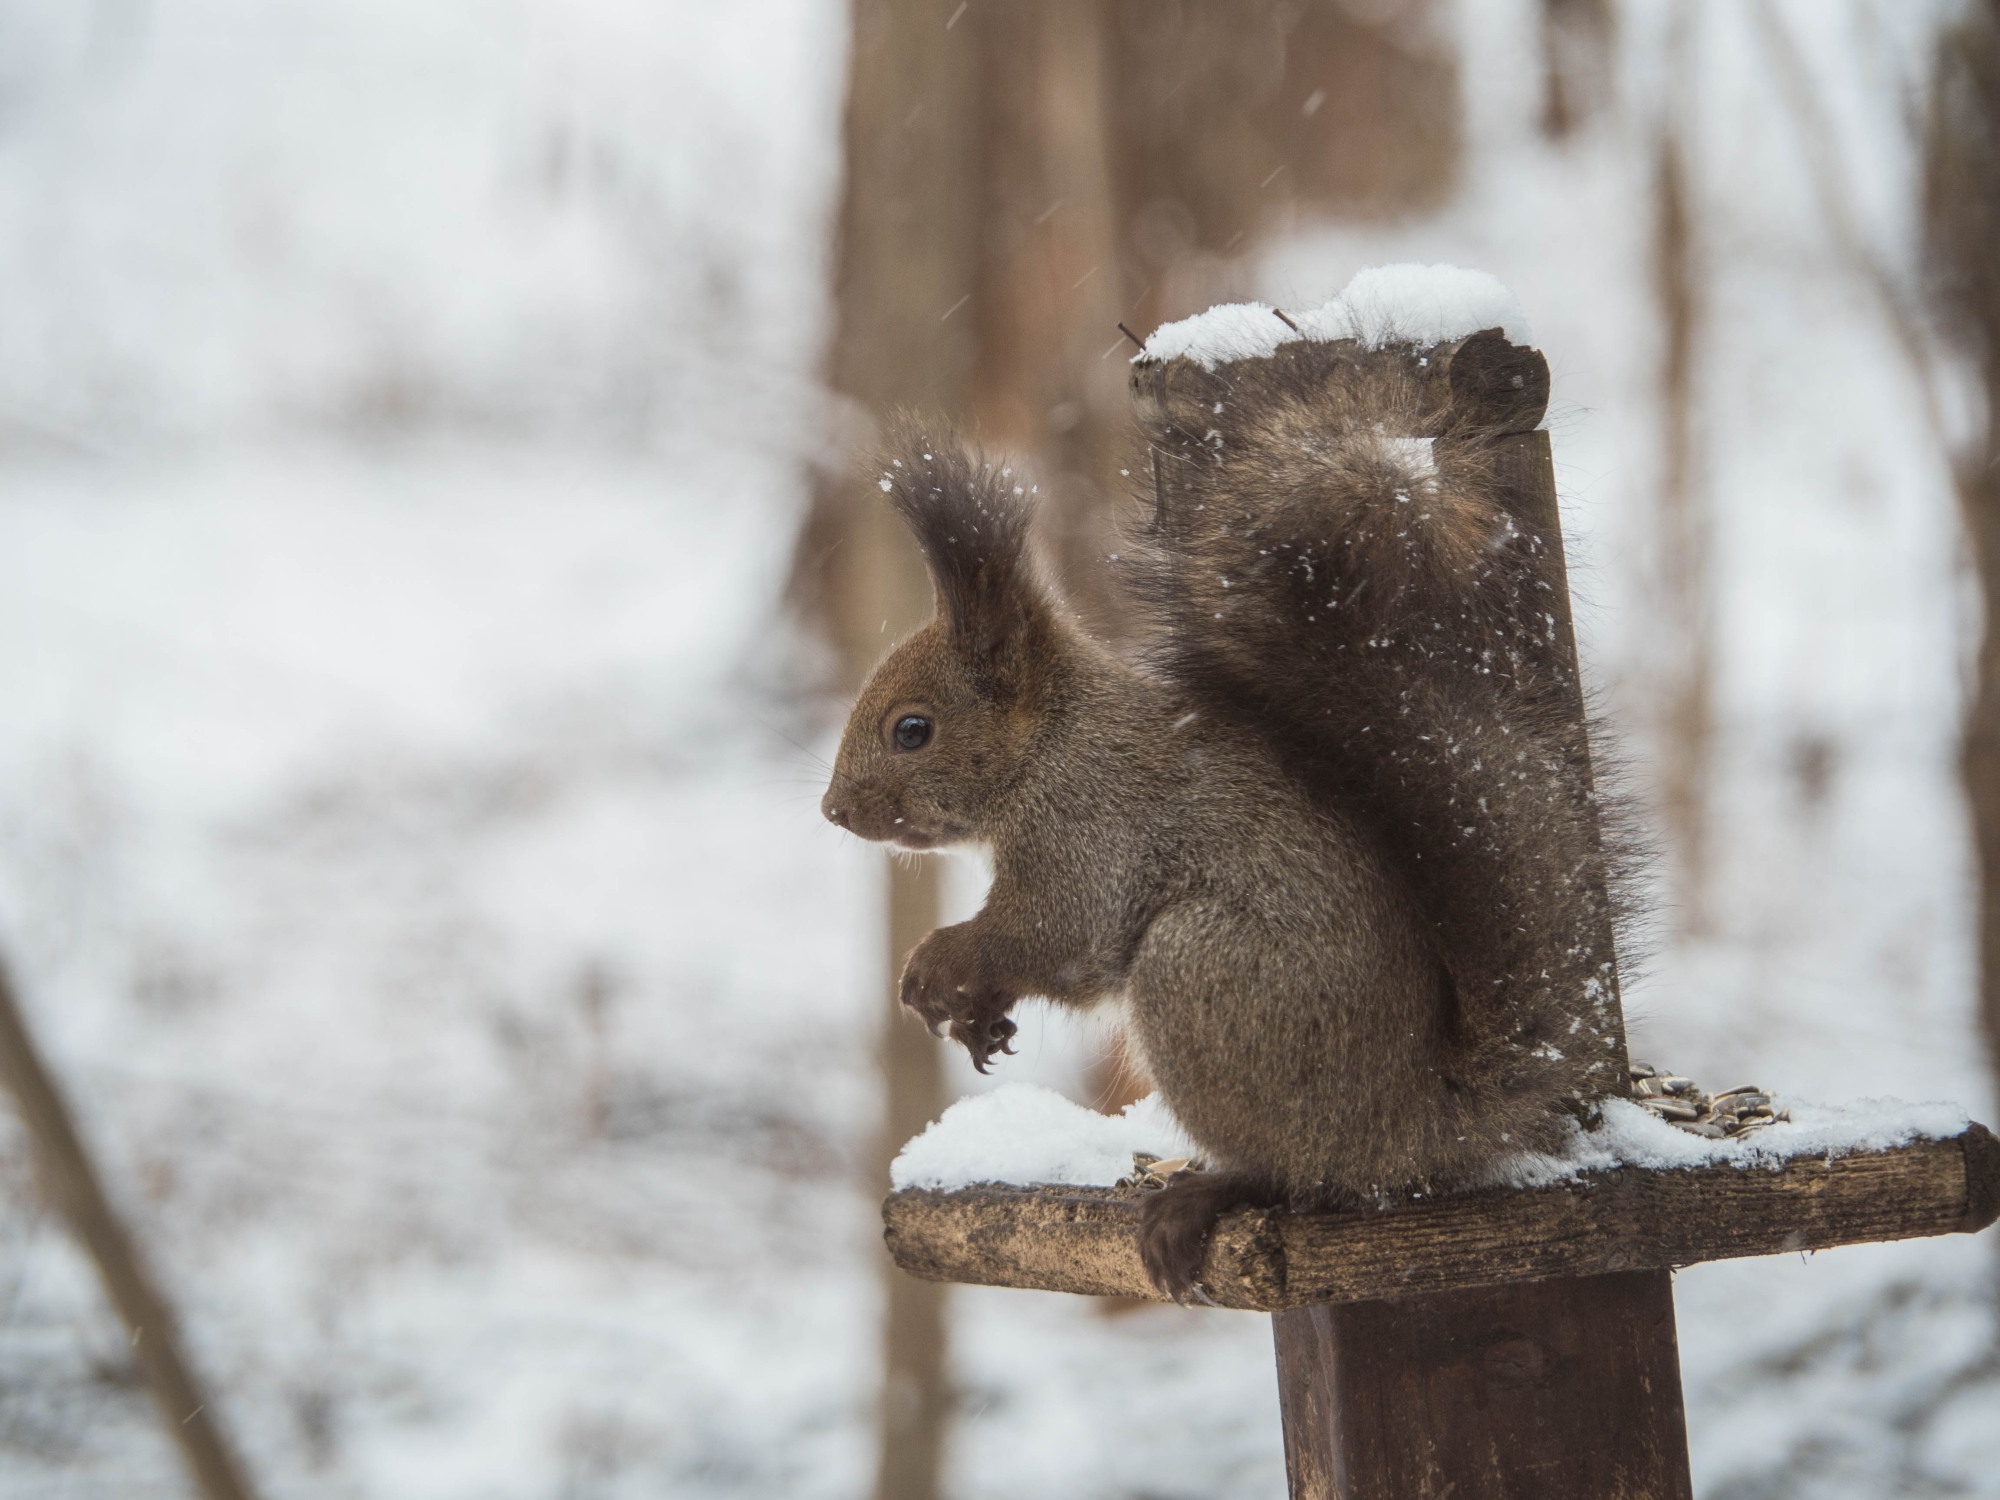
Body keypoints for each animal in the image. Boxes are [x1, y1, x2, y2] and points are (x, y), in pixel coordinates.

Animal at [820, 328, 1632, 1304]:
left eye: (913, 730)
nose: (833, 811)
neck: (1053, 741)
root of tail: (1417, 1132)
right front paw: (979, 1021)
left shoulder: (1089, 826)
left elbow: (1059, 935)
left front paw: (936, 969)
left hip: (1204, 977)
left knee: (1300, 1172)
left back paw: (1208, 1192)